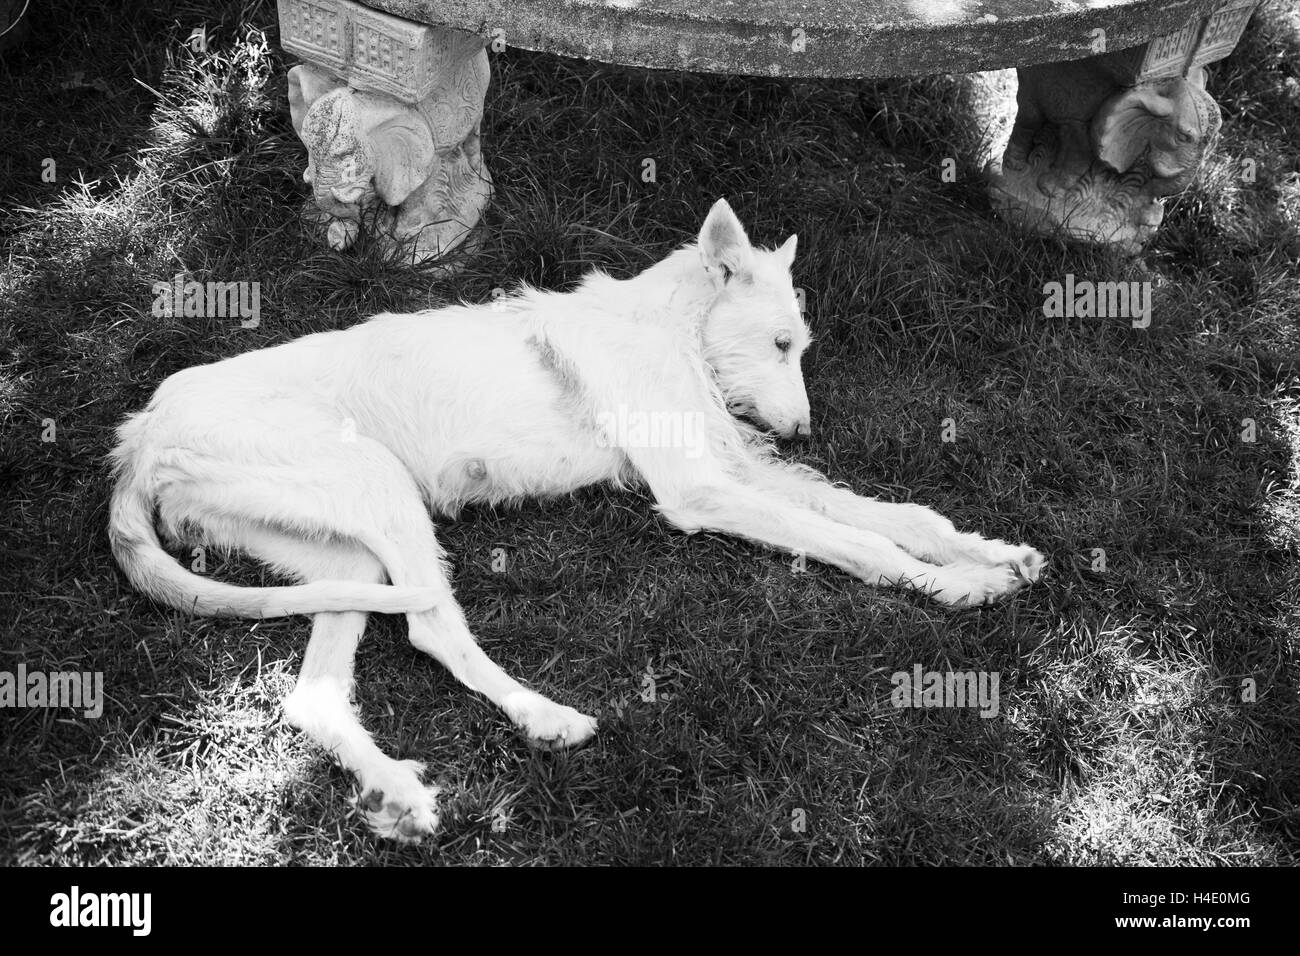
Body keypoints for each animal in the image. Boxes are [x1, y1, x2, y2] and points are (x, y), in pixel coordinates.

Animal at [111, 197, 1045, 842]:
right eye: (781, 345)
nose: (807, 432)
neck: (672, 328)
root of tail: (140, 433)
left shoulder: (740, 464)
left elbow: (894, 512)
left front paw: (988, 554)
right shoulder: (697, 489)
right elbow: (854, 539)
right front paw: (949, 588)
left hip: (345, 557)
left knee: (315, 698)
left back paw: (398, 794)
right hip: (377, 490)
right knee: (432, 630)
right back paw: (544, 718)